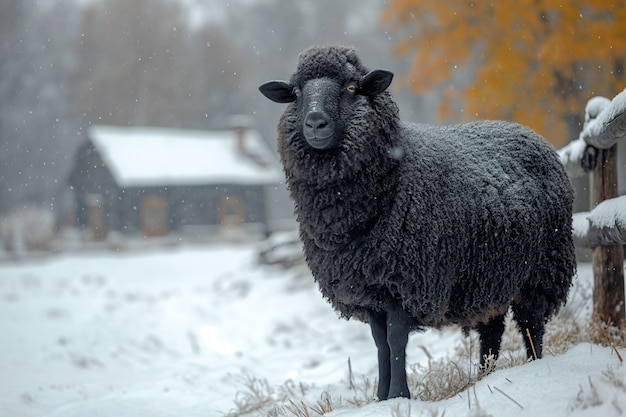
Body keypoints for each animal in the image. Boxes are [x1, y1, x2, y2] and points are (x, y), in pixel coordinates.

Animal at [258, 45, 576, 400]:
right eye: (297, 93)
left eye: (352, 88)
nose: (315, 122)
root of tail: (529, 132)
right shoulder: (370, 290)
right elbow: (380, 344)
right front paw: (381, 397)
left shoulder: (405, 281)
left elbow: (396, 339)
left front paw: (400, 395)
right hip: (489, 276)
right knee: (491, 331)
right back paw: (484, 378)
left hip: (543, 270)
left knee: (531, 324)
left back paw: (532, 368)